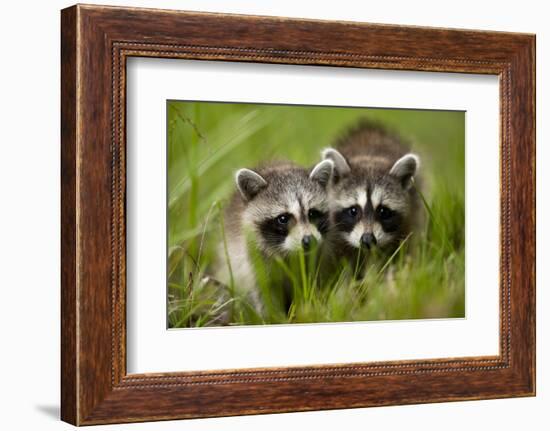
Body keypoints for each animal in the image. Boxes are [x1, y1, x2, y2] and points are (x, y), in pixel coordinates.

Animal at [216, 160, 336, 316]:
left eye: (312, 213)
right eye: (283, 219)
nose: (309, 241)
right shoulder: (253, 258)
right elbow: (264, 293)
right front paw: (273, 317)